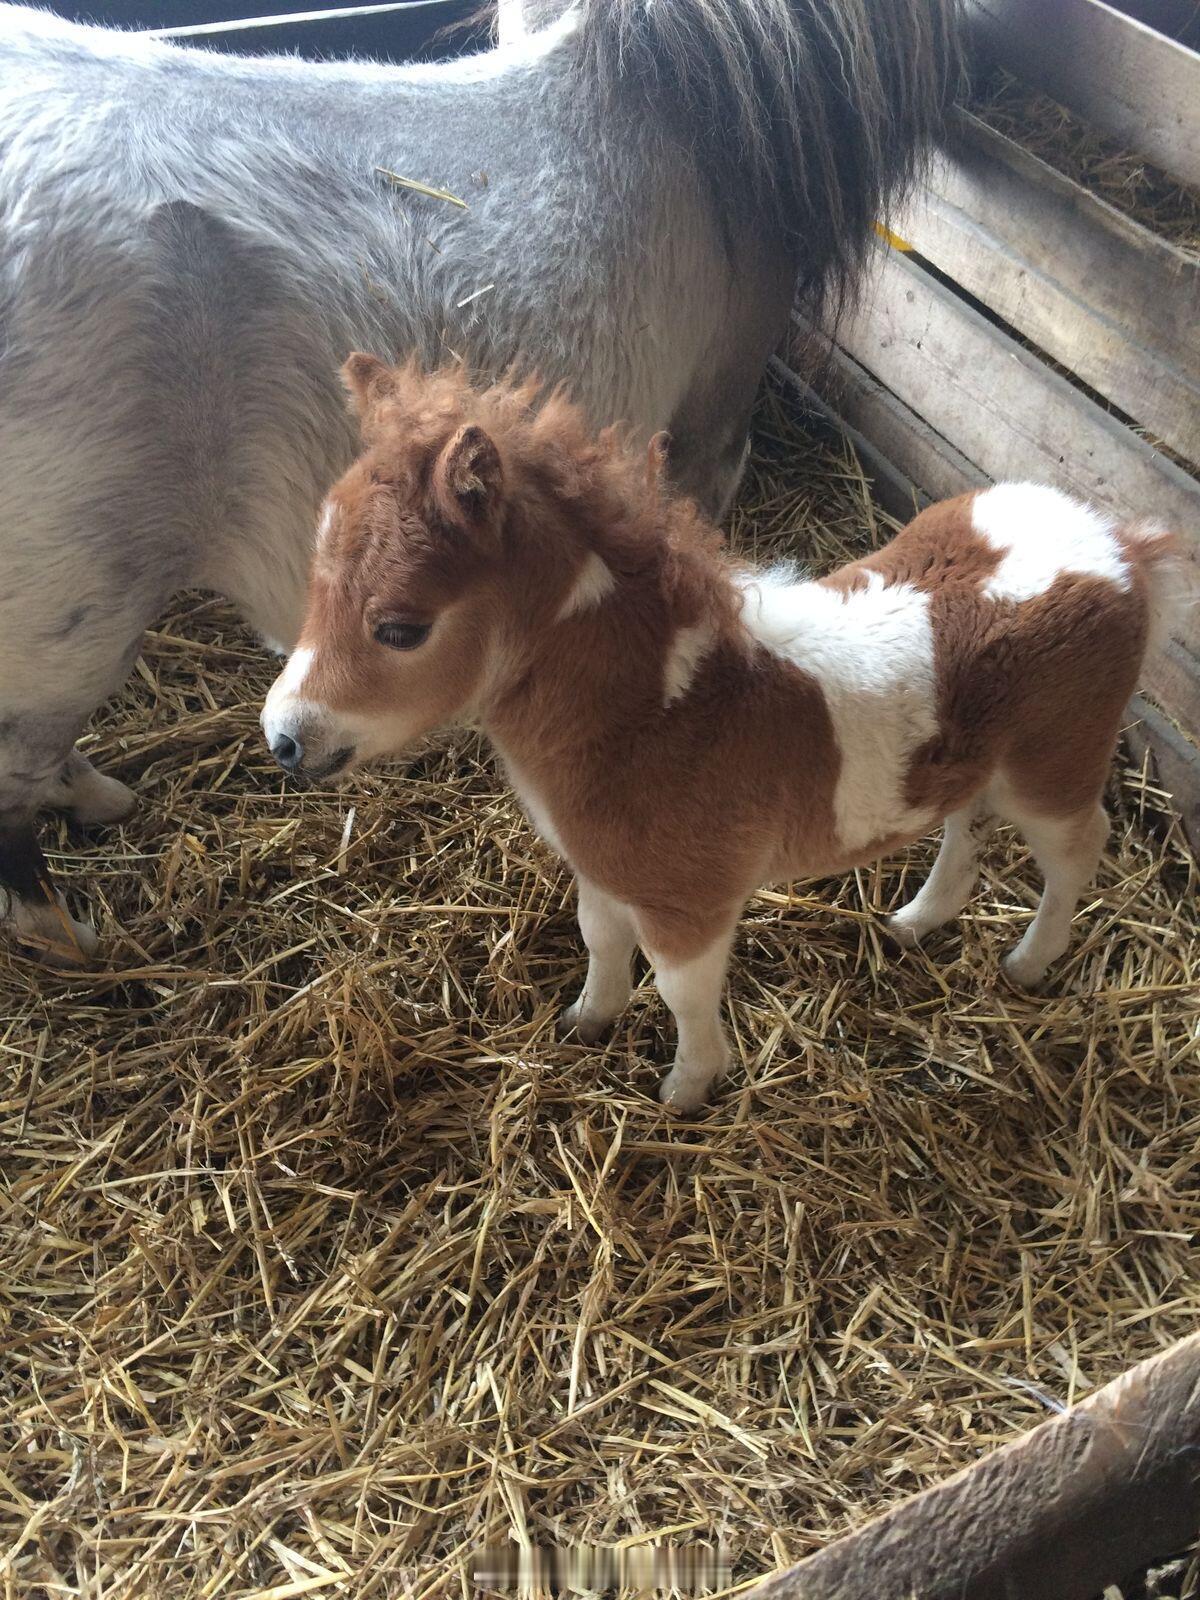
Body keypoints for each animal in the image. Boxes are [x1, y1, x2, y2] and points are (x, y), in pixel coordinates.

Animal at [265, 363, 1184, 1113]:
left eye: (401, 628)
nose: (283, 738)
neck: (660, 712)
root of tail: (1118, 545)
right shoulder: (600, 866)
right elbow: (599, 940)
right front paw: (587, 1020)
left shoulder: (690, 902)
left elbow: (682, 993)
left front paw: (688, 1089)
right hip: (974, 762)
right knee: (964, 827)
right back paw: (916, 921)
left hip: (1054, 767)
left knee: (1080, 846)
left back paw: (1029, 963)